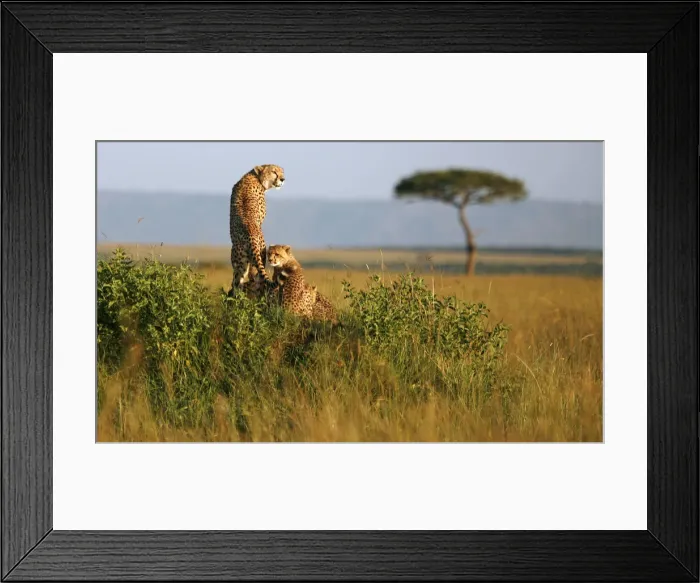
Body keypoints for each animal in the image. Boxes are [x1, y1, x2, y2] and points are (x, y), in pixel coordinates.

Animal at [228, 164, 285, 294]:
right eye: (274, 172)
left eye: (282, 172)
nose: (283, 179)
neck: (255, 176)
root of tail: (251, 235)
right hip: (260, 257)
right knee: (257, 279)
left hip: (239, 263)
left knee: (236, 283)